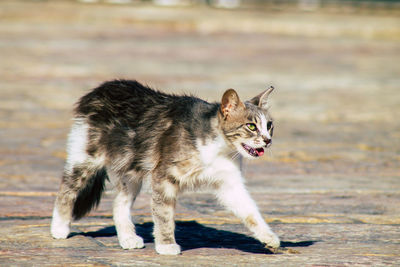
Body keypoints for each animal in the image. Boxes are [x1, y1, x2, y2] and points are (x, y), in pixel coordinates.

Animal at [51, 80, 280, 256]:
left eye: (269, 125)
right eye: (251, 126)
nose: (267, 140)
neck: (218, 147)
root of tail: (103, 87)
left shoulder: (228, 183)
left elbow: (250, 211)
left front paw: (268, 236)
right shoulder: (164, 176)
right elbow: (164, 213)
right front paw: (166, 244)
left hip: (132, 169)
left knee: (119, 203)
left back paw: (127, 237)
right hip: (86, 157)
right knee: (67, 190)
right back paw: (59, 228)